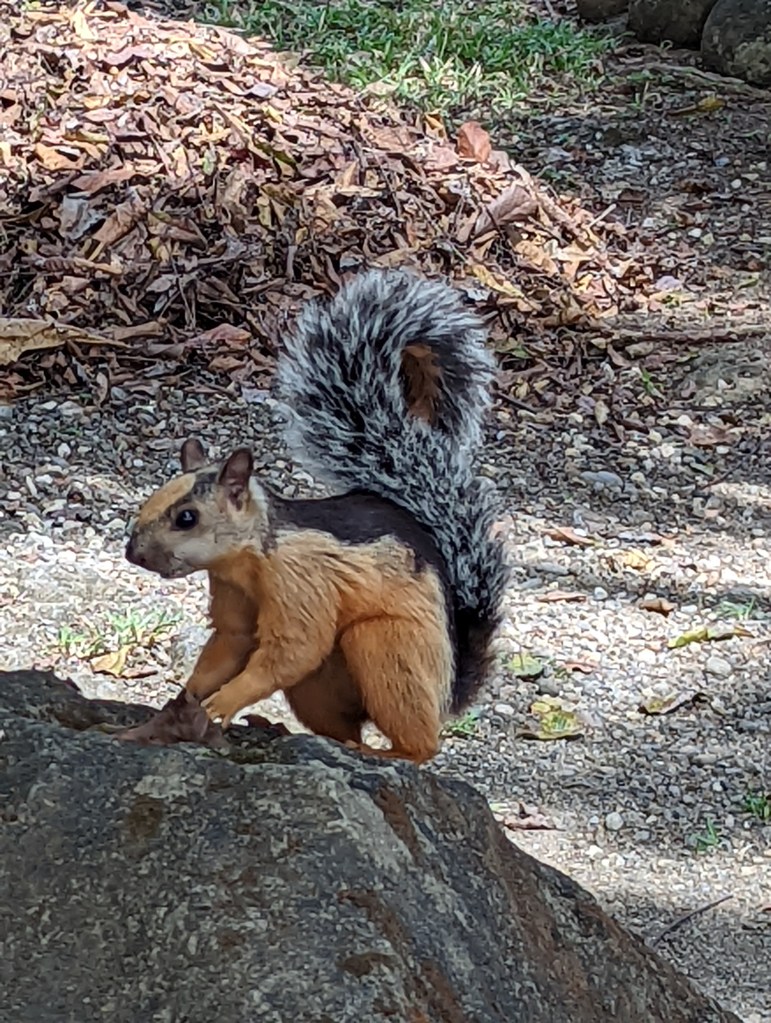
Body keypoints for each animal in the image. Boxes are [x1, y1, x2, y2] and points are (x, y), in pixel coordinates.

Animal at [125, 268, 508, 763]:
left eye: (186, 518)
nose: (132, 552)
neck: (252, 558)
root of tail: (448, 693)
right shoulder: (231, 594)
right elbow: (230, 644)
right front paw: (187, 696)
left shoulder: (303, 580)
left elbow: (293, 650)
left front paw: (225, 701)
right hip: (319, 689)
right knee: (343, 724)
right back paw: (294, 731)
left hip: (386, 647)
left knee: (420, 743)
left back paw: (388, 754)